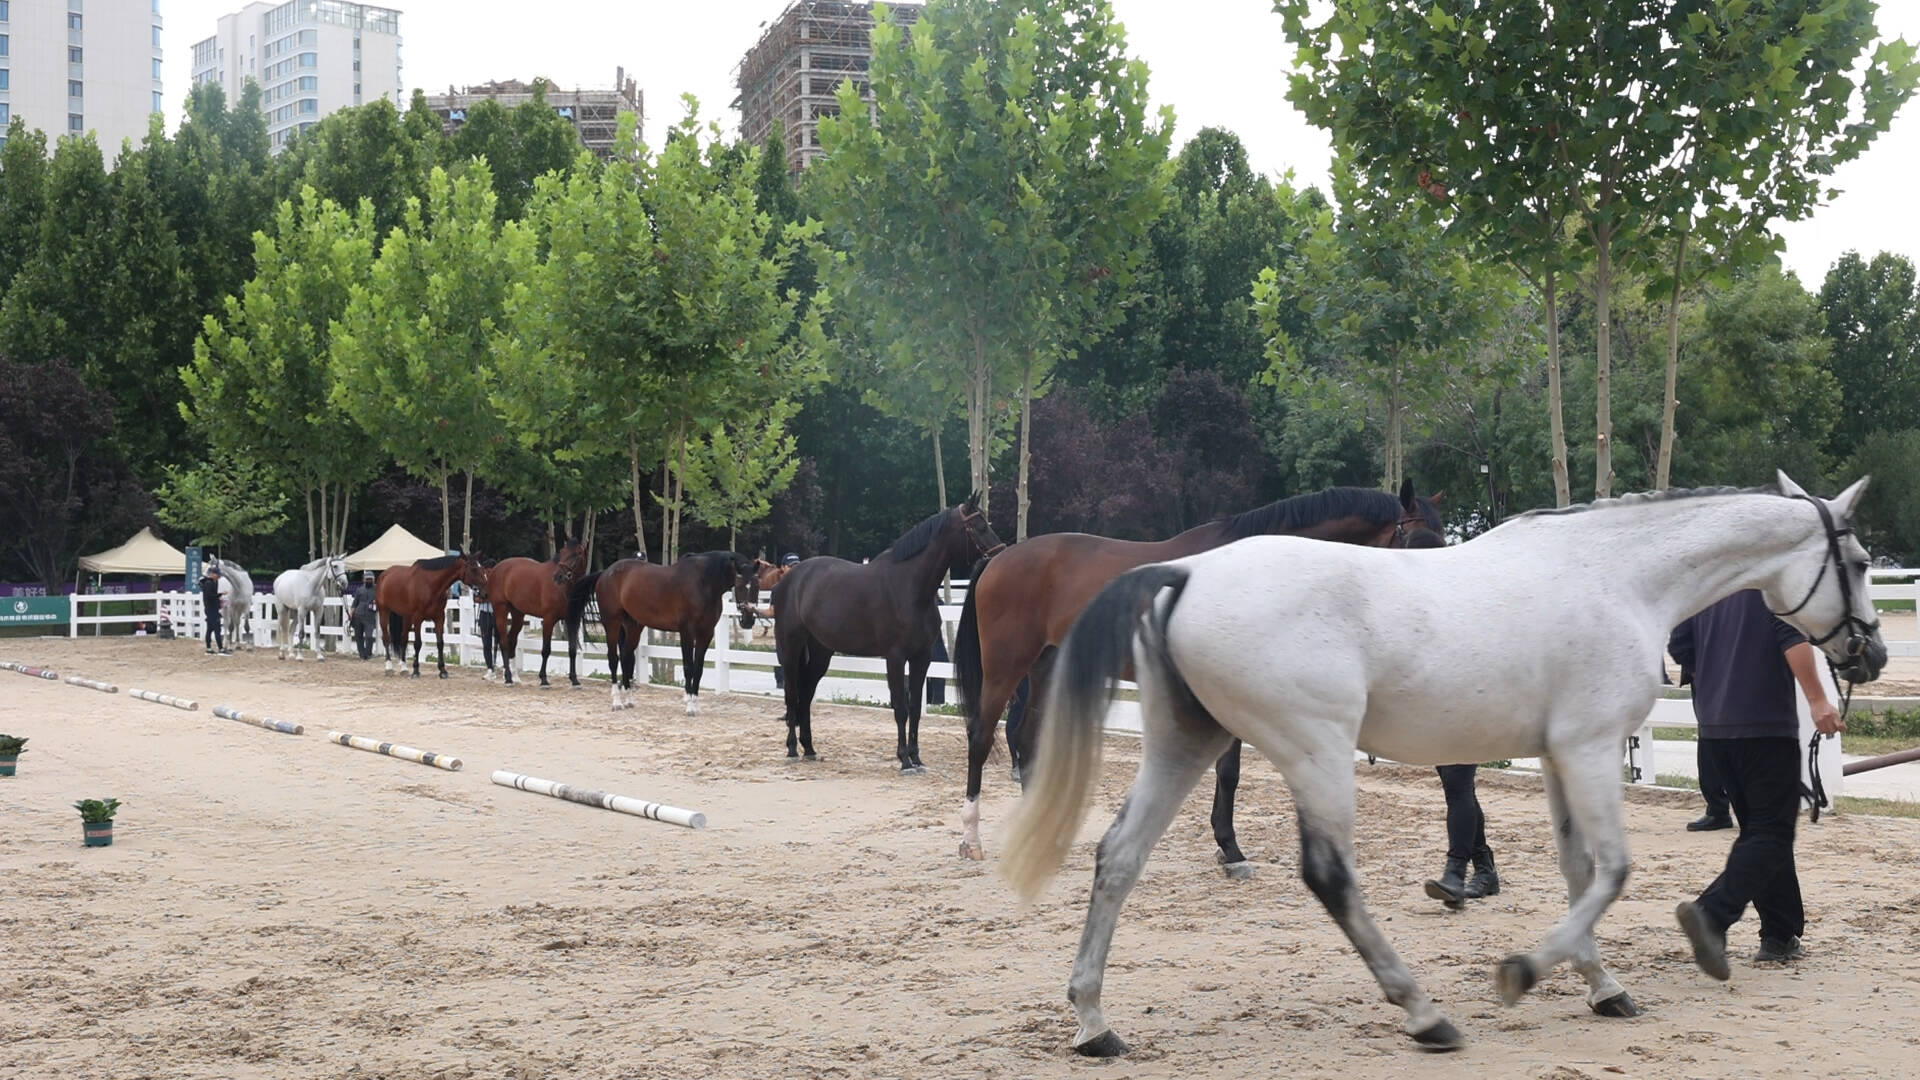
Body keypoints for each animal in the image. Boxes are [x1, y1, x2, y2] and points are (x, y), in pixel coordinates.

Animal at [487, 539, 589, 688]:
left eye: (577, 554)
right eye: (562, 552)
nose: (558, 576)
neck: (565, 589)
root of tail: (496, 569)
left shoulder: (572, 620)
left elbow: (572, 650)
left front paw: (575, 680)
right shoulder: (548, 619)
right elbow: (546, 650)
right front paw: (544, 679)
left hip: (518, 615)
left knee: (511, 641)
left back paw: (515, 677)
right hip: (501, 610)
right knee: (504, 643)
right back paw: (508, 678)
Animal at [568, 551, 760, 715]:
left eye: (757, 586)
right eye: (740, 585)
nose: (748, 620)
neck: (703, 582)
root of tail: (605, 573)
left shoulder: (706, 634)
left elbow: (698, 669)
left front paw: (696, 704)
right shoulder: (687, 632)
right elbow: (688, 667)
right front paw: (689, 706)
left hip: (633, 626)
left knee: (626, 656)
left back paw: (629, 699)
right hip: (612, 623)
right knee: (613, 659)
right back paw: (617, 702)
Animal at [772, 492, 1005, 772]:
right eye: (979, 526)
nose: (1001, 553)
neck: (910, 587)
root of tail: (789, 578)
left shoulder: (921, 657)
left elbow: (915, 707)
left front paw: (916, 757)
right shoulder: (895, 657)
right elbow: (901, 708)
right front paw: (904, 759)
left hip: (820, 653)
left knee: (806, 695)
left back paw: (809, 748)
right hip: (791, 648)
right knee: (792, 694)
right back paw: (793, 748)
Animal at [954, 481, 1443, 864]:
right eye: (1414, 543)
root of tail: (1000, 558)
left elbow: (1230, 771)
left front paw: (1228, 846)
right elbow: (1229, 771)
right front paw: (1229, 847)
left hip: (1046, 665)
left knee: (1027, 737)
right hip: (1006, 666)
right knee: (982, 735)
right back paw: (972, 840)